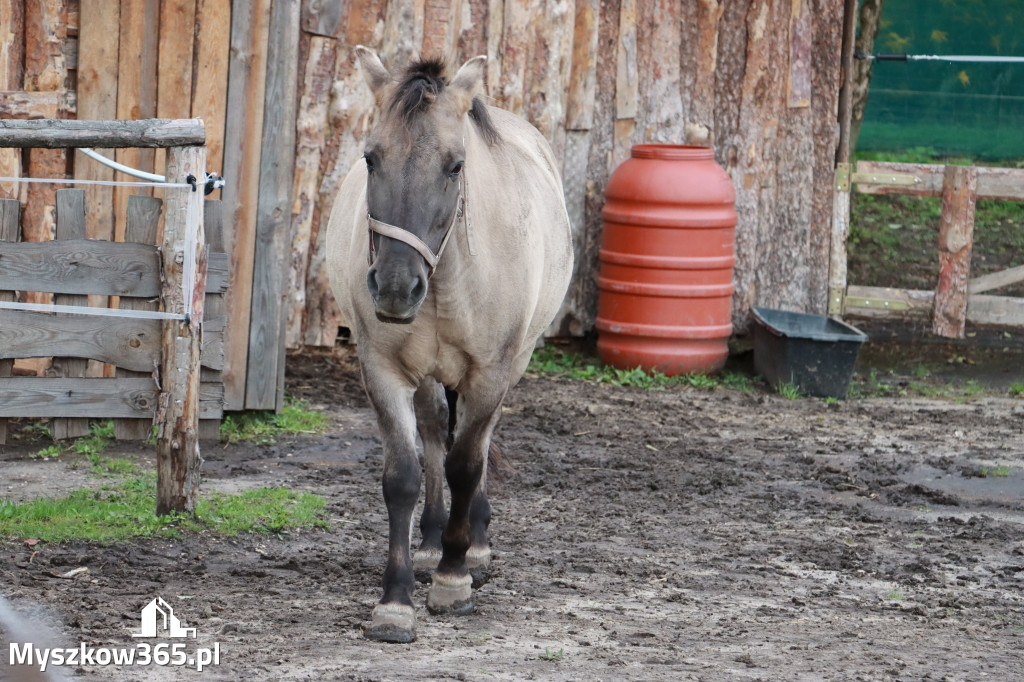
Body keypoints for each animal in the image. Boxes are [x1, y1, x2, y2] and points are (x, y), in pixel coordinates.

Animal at [325, 49, 573, 643]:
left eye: (455, 165)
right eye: (370, 159)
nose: (395, 286)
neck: (445, 279)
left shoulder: (491, 372)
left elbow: (466, 465)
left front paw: (454, 578)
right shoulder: (384, 370)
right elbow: (403, 476)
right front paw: (395, 603)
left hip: (514, 363)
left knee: (475, 446)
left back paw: (469, 548)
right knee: (437, 427)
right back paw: (433, 540)